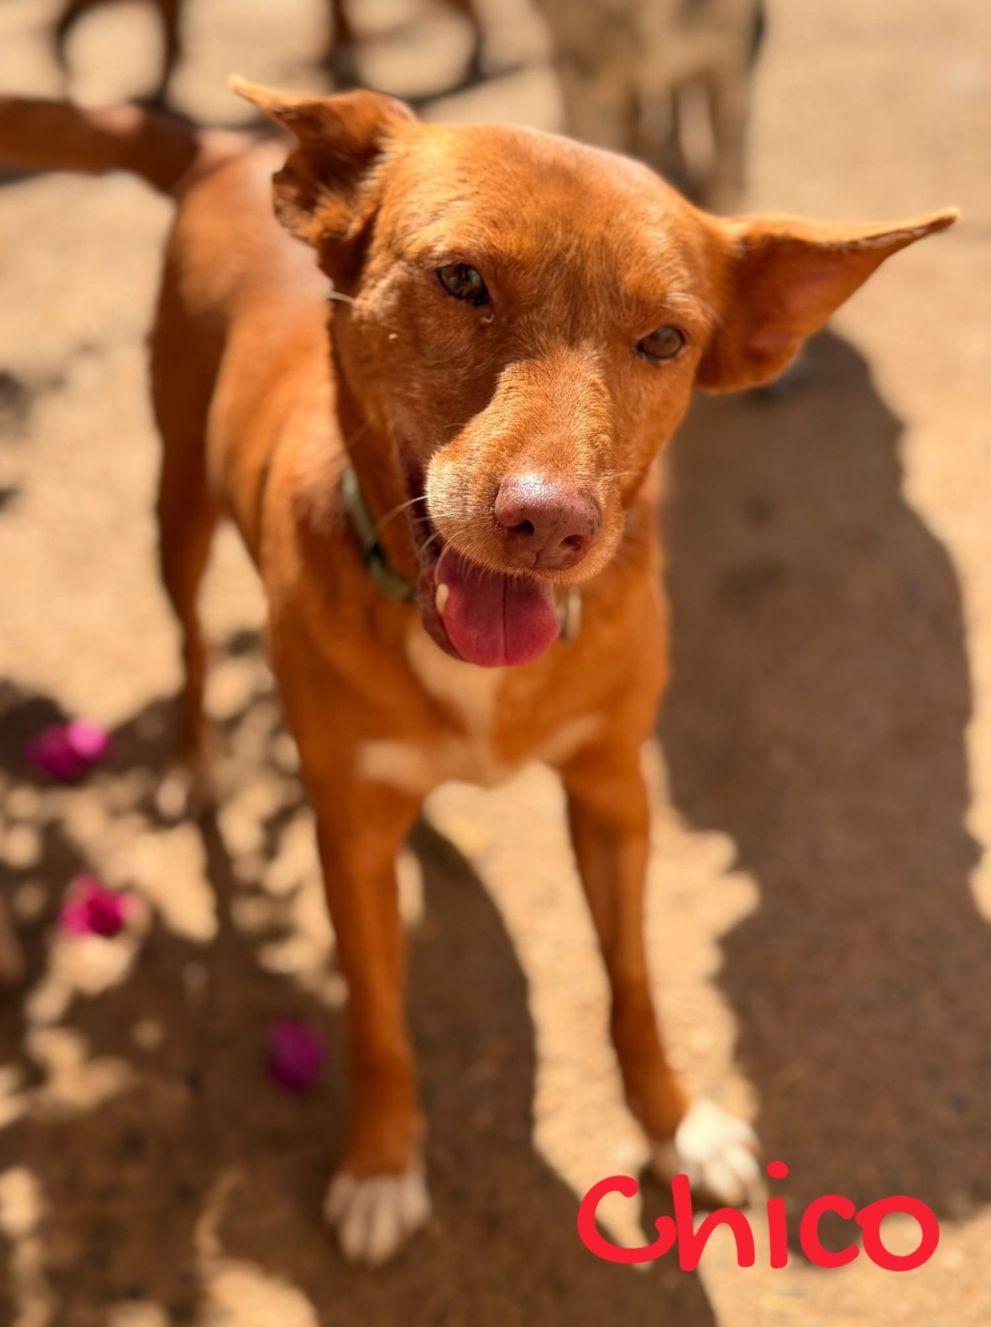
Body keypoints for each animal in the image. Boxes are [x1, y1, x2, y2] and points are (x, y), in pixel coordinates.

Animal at [0, 86, 955, 1266]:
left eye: (664, 340)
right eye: (460, 280)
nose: (550, 525)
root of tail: (224, 149)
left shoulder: (613, 790)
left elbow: (633, 983)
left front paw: (676, 1122)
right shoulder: (348, 831)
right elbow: (374, 1015)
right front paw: (379, 1164)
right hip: (178, 497)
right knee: (185, 639)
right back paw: (193, 762)